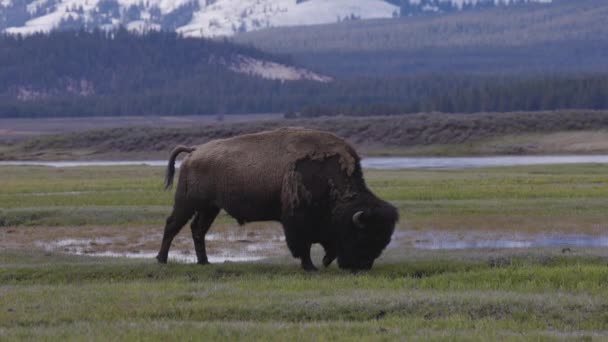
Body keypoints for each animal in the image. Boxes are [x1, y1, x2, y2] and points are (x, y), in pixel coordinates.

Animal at [156, 127, 400, 272]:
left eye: (384, 239)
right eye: (362, 236)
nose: (362, 266)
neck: (327, 174)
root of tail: (194, 151)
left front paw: (323, 262)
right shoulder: (296, 221)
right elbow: (303, 245)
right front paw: (310, 266)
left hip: (210, 208)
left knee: (198, 229)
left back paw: (204, 262)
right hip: (188, 203)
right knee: (172, 224)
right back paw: (162, 259)